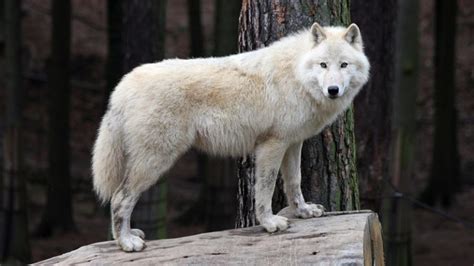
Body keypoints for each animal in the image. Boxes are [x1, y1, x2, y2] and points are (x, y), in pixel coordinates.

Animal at [92, 22, 370, 251]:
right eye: (323, 65)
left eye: (343, 65)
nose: (332, 90)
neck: (296, 74)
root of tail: (123, 85)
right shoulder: (271, 145)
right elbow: (266, 189)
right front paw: (269, 223)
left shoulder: (292, 143)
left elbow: (294, 182)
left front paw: (303, 211)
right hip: (155, 162)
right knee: (119, 198)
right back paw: (126, 242)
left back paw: (129, 235)